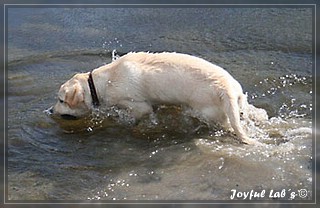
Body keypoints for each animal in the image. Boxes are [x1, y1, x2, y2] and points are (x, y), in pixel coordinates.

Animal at [51, 51, 268, 144]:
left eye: (61, 100)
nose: (50, 110)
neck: (104, 81)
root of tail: (226, 88)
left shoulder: (139, 106)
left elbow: (137, 117)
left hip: (205, 112)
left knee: (228, 125)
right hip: (239, 101)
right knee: (250, 113)